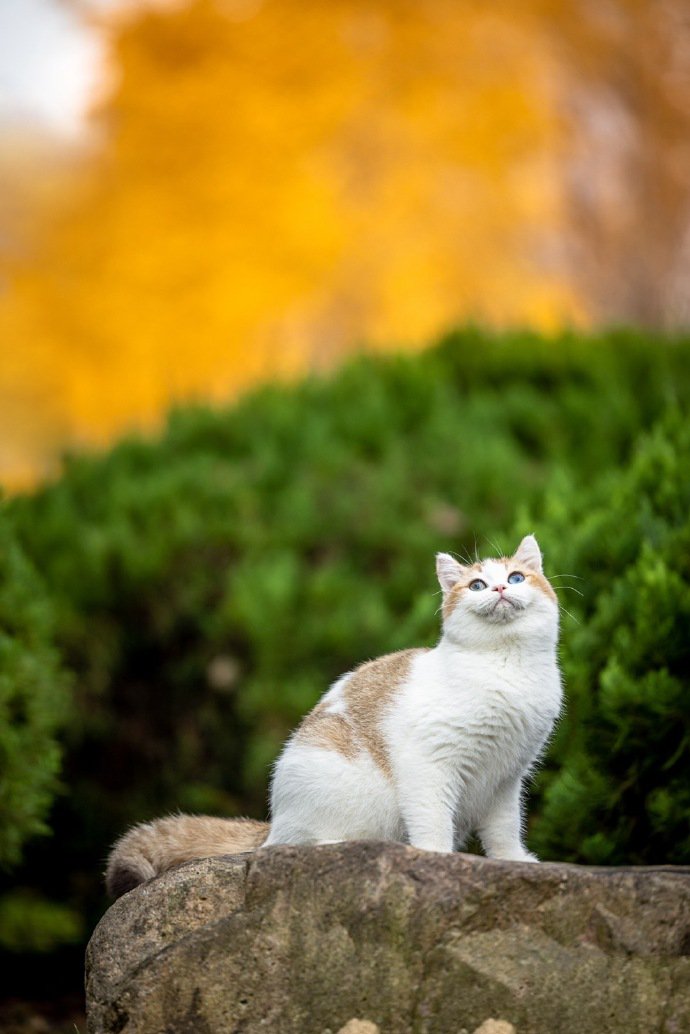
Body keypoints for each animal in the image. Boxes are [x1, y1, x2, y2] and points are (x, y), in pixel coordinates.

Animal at [106, 537, 562, 901]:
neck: (505, 667)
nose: (500, 587)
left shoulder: (505, 777)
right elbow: (432, 819)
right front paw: (436, 858)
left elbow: (504, 829)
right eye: (477, 585)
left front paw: (516, 861)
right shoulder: (428, 765)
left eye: (517, 577)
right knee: (296, 847)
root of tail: (273, 823)